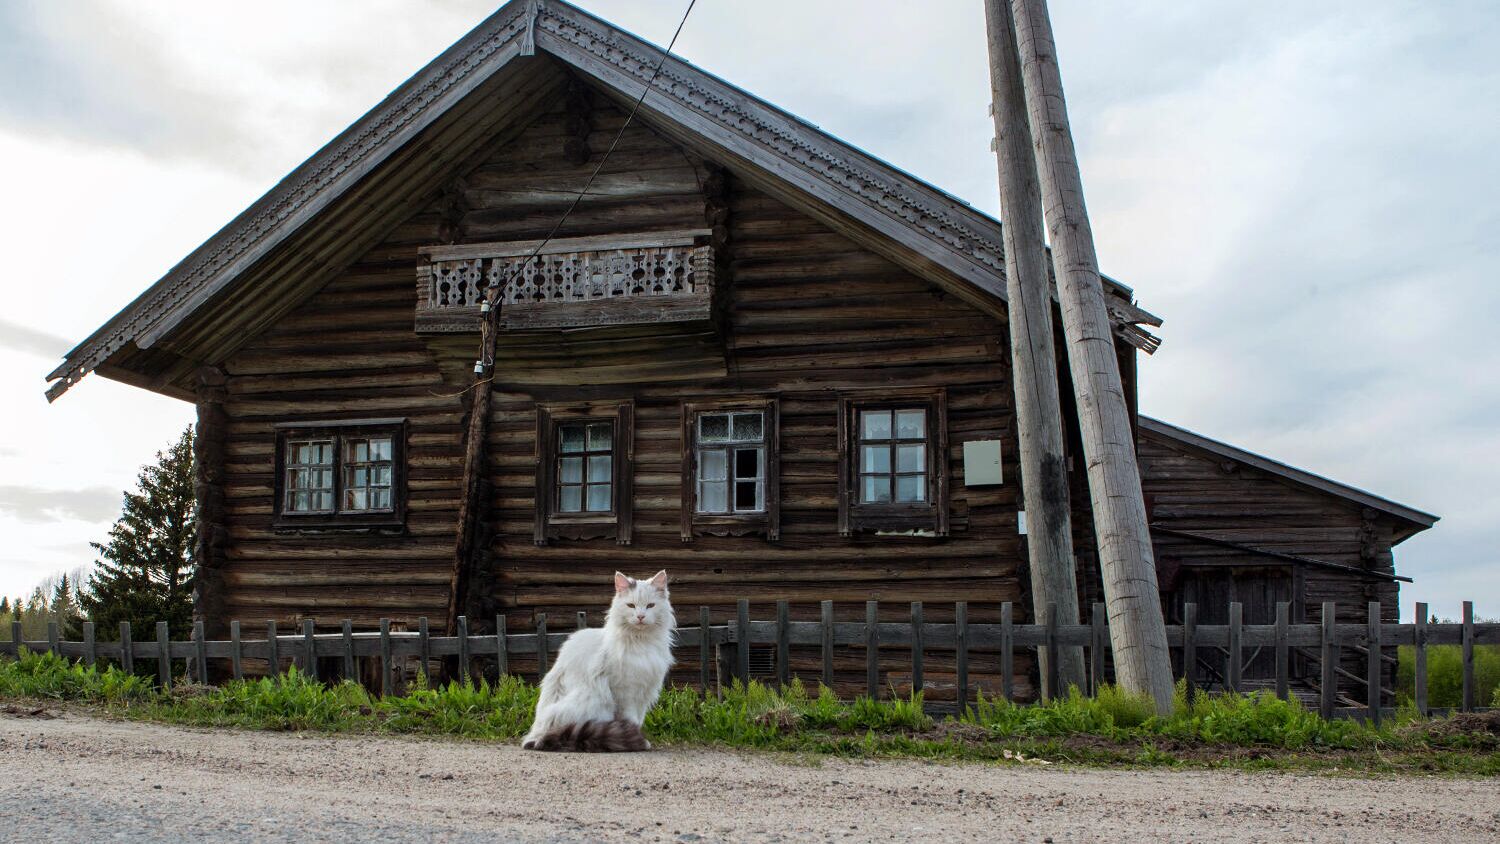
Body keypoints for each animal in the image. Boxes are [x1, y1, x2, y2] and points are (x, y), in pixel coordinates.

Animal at [522, 572, 675, 749]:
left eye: (650, 605)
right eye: (631, 605)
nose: (641, 616)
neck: (641, 642)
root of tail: (536, 735)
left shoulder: (645, 692)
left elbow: (639, 719)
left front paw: (638, 739)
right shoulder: (626, 693)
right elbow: (631, 720)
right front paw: (639, 741)